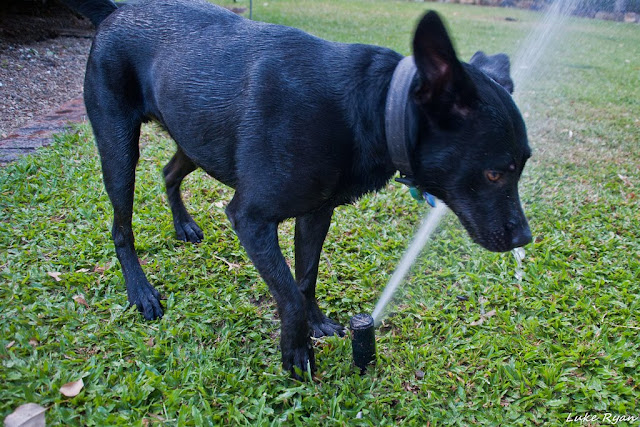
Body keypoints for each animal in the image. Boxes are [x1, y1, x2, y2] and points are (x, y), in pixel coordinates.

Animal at [65, 0, 532, 378]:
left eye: (524, 163)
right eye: (495, 173)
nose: (525, 239)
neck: (370, 102)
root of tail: (116, 12)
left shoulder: (316, 212)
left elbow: (305, 276)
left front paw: (317, 323)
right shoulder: (250, 218)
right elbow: (287, 292)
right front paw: (296, 352)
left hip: (196, 137)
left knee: (168, 173)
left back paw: (184, 225)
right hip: (119, 148)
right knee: (121, 228)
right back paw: (140, 292)